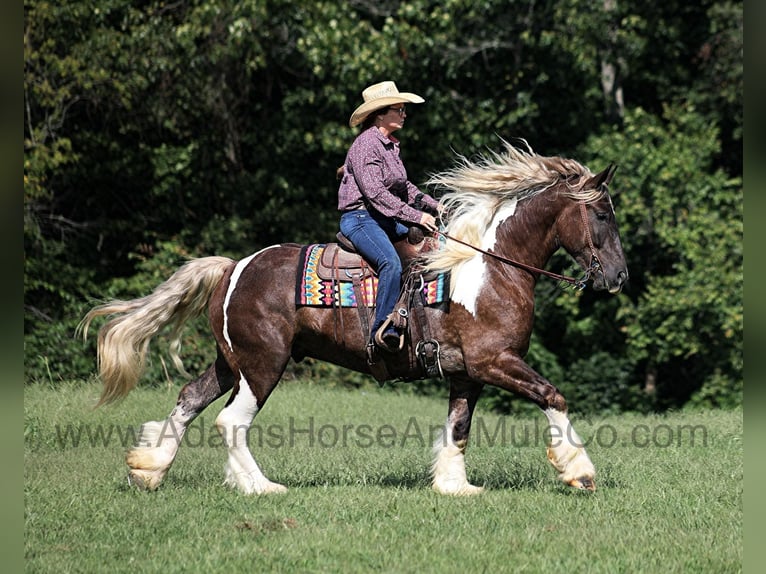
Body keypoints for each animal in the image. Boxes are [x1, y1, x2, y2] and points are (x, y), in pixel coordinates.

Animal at [79, 141, 628, 496]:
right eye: (603, 214)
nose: (619, 276)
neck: (488, 267)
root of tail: (233, 267)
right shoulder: (494, 361)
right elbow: (552, 395)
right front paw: (579, 472)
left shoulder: (466, 373)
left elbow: (459, 428)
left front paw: (455, 487)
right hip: (262, 365)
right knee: (231, 421)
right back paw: (261, 487)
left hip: (229, 362)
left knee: (190, 398)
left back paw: (149, 470)